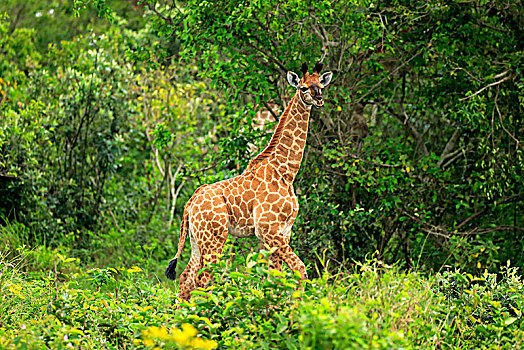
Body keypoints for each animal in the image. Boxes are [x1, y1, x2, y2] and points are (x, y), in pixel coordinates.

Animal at [166, 61, 334, 300]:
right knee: (202, 279)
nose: (319, 99)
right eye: (303, 87)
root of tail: (190, 204)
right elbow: (300, 270)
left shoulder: (282, 232)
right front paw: (297, 307)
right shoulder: (268, 229)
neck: (286, 172)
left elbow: (274, 277)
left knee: (186, 278)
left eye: (320, 85)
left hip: (197, 239)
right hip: (214, 238)